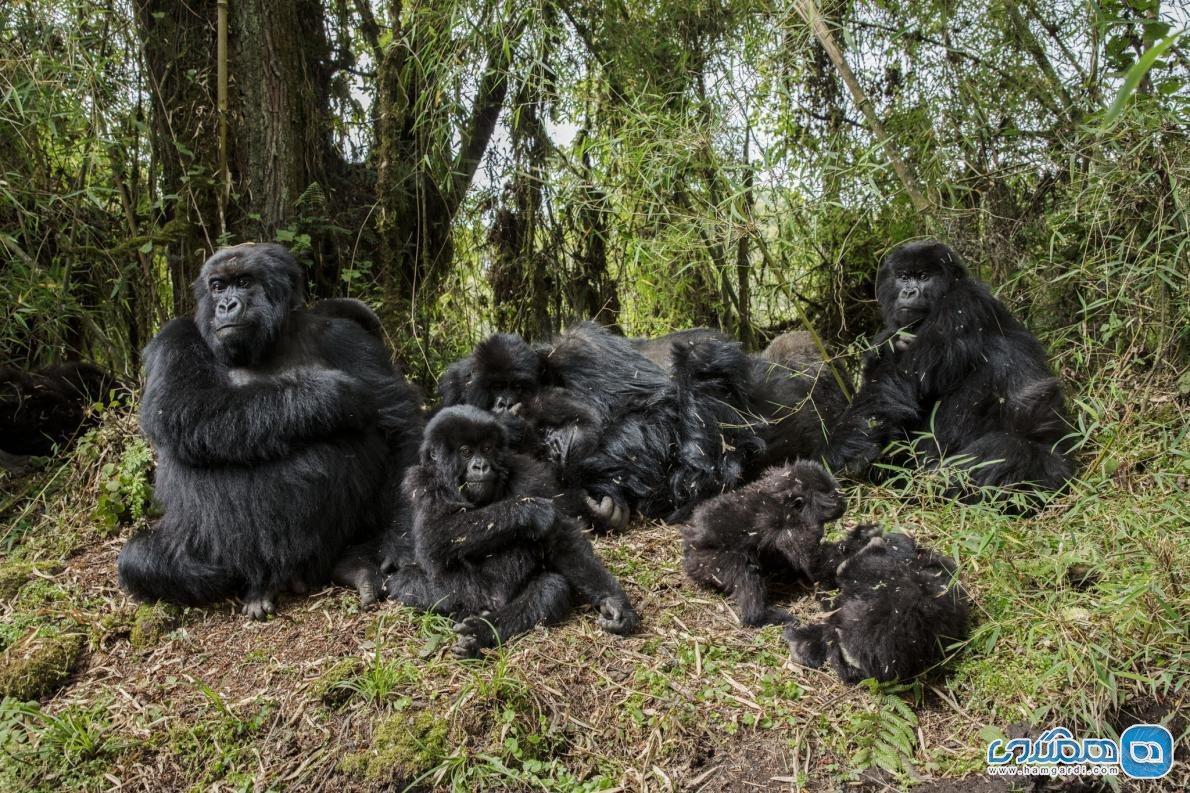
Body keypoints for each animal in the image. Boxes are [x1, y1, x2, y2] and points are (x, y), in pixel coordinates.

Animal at [117, 240, 423, 619]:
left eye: (244, 282)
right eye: (217, 286)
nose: (226, 305)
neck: (271, 341)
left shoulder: (346, 337)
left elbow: (400, 425)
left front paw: (399, 541)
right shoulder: (174, 336)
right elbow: (182, 406)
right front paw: (328, 397)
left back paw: (353, 563)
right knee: (141, 561)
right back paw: (258, 586)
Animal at [385, 404, 637, 657]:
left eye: (486, 449)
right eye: (466, 452)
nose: (481, 466)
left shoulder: (529, 473)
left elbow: (562, 538)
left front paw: (613, 602)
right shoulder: (422, 482)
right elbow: (432, 535)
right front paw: (529, 510)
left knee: (551, 589)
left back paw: (482, 631)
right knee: (406, 582)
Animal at [680, 459, 847, 628]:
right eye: (832, 496)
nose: (843, 502)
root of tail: (689, 552)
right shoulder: (790, 527)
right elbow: (812, 562)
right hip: (709, 560)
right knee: (744, 571)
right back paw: (759, 617)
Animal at [828, 238, 1071, 502]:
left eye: (923, 277)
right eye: (903, 277)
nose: (908, 292)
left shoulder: (961, 304)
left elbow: (902, 380)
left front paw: (840, 450)